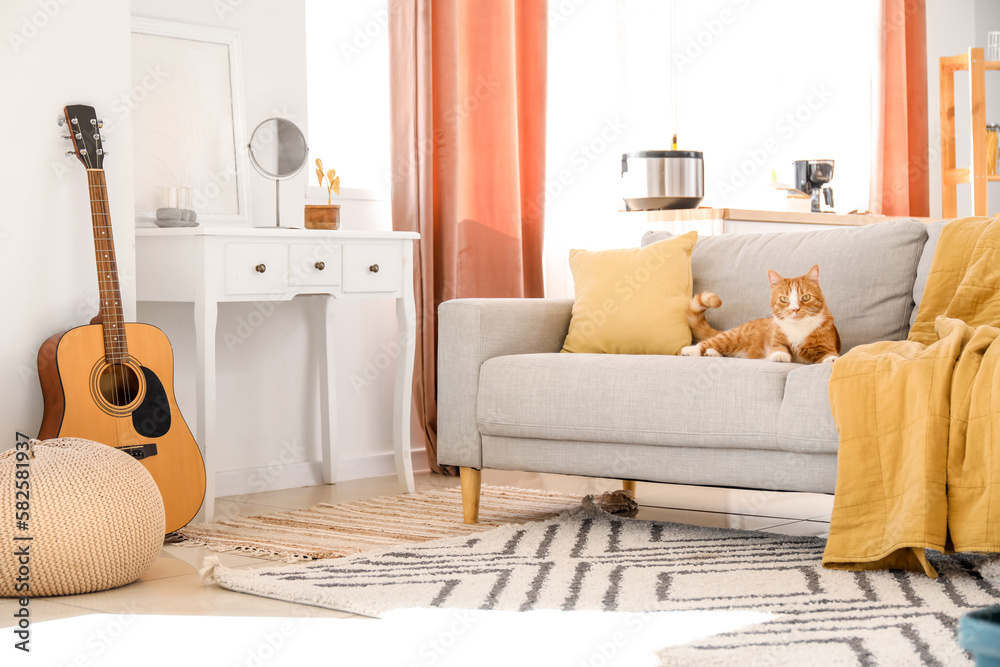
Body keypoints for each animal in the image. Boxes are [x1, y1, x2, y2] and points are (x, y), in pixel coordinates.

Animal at [684, 264, 840, 366]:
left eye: (806, 297)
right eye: (784, 299)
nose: (795, 309)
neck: (798, 327)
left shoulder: (827, 346)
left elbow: (830, 354)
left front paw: (832, 358)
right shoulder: (777, 341)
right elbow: (778, 348)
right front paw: (780, 355)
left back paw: (712, 353)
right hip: (733, 337)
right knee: (711, 341)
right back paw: (691, 349)